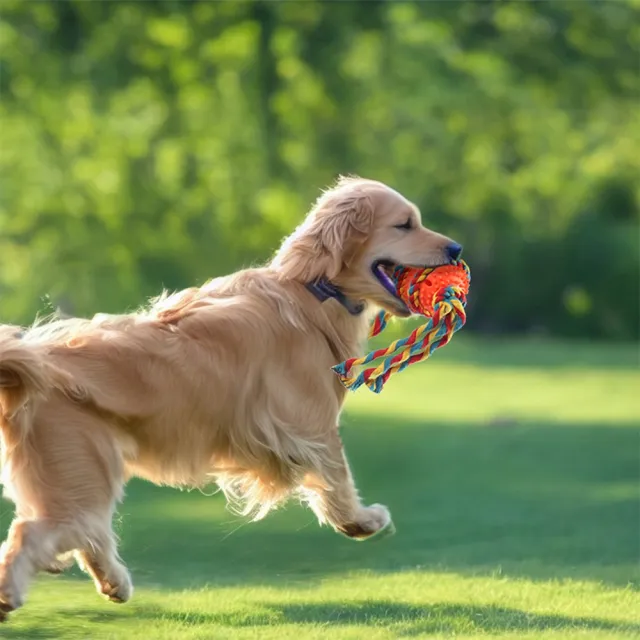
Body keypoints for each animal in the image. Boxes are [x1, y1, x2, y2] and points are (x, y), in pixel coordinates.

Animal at [0, 176, 460, 620]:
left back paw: (112, 582)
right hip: (80, 476)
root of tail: (31, 363)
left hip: (79, 476)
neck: (311, 290)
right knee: (37, 531)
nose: (456, 249)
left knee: (81, 533)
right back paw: (14, 594)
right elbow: (338, 482)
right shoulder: (310, 426)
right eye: (405, 224)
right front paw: (364, 521)